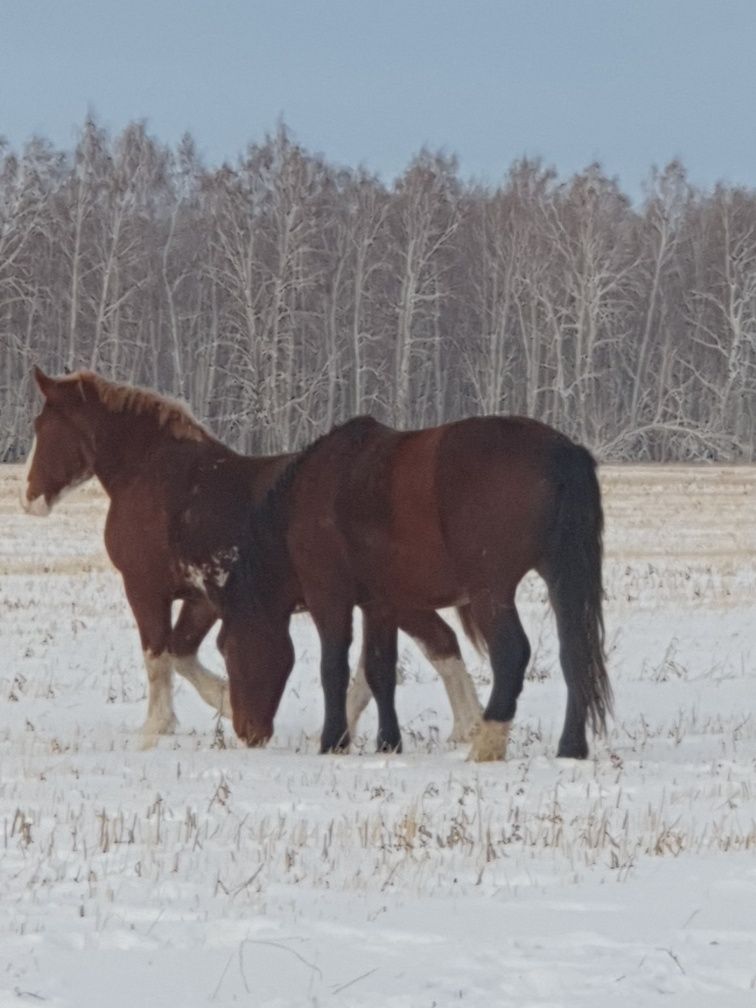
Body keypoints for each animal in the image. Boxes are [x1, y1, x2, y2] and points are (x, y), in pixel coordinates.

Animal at [20, 370, 481, 749]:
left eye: (42, 425)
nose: (29, 499)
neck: (159, 476)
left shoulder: (145, 588)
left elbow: (158, 656)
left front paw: (157, 726)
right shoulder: (204, 597)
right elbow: (181, 652)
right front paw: (226, 700)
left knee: (435, 645)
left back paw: (465, 725)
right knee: (425, 649)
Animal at [220, 413, 616, 758]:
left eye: (227, 647)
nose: (247, 731)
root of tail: (563, 452)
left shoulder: (329, 598)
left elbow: (333, 669)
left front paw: (333, 741)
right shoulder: (379, 604)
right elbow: (379, 671)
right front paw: (388, 743)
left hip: (492, 592)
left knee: (511, 654)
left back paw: (486, 744)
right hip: (561, 576)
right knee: (574, 653)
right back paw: (570, 747)